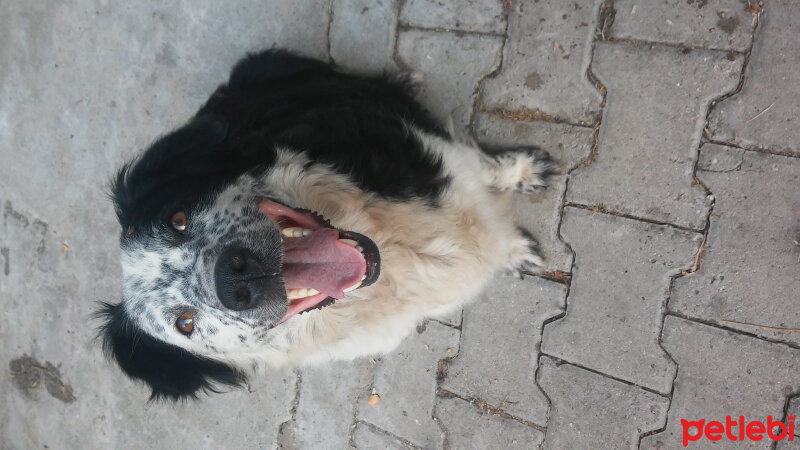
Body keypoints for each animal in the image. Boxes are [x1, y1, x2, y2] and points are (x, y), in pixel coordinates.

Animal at [97, 50, 552, 400]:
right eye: (184, 324)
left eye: (177, 219)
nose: (235, 277)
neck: (394, 249)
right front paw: (513, 251)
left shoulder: (436, 156)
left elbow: (486, 170)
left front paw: (522, 176)